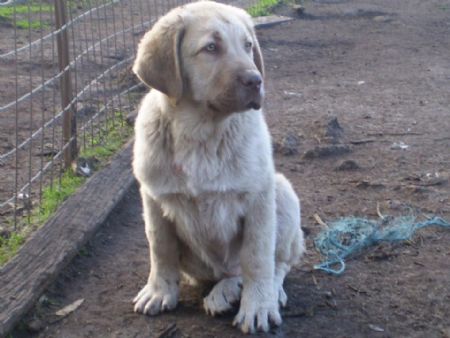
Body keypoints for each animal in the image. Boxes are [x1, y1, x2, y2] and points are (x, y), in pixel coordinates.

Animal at [132, 0, 304, 332]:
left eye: (248, 46)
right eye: (211, 48)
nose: (256, 81)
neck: (200, 133)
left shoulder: (258, 197)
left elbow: (258, 257)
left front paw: (258, 305)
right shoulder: (153, 198)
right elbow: (160, 248)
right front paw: (159, 291)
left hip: (282, 190)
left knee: (276, 264)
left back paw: (260, 292)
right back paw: (225, 291)